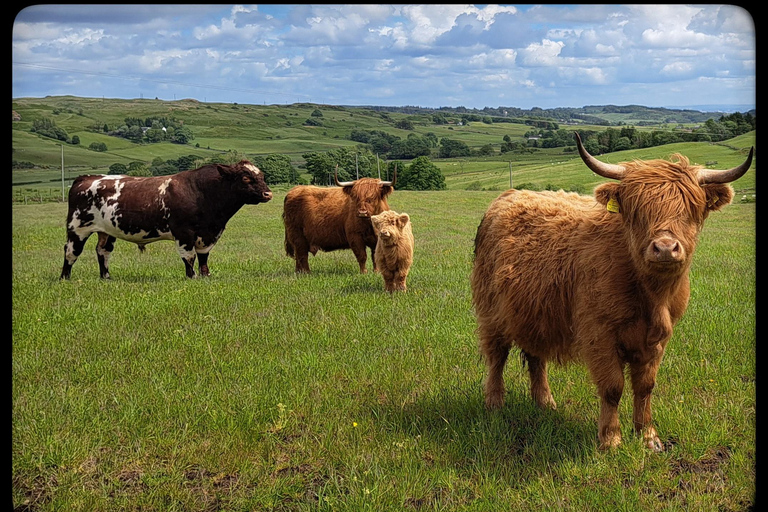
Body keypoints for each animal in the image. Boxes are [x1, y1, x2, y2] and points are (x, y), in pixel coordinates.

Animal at [60, 160, 273, 280]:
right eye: (245, 178)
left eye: (262, 176)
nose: (268, 193)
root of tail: (86, 178)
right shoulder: (184, 232)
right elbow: (189, 256)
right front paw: (192, 277)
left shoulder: (209, 233)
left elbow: (203, 256)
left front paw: (206, 276)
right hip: (77, 228)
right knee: (71, 252)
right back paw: (65, 277)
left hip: (107, 231)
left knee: (103, 252)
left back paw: (106, 277)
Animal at [471, 132, 753, 451]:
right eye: (638, 211)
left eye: (691, 210)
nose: (665, 248)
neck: (651, 296)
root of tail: (510, 195)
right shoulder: (599, 333)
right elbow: (612, 387)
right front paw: (611, 439)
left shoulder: (658, 339)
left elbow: (645, 386)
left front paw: (648, 436)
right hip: (492, 310)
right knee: (496, 355)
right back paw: (495, 404)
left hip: (534, 310)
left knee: (535, 356)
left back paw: (545, 403)